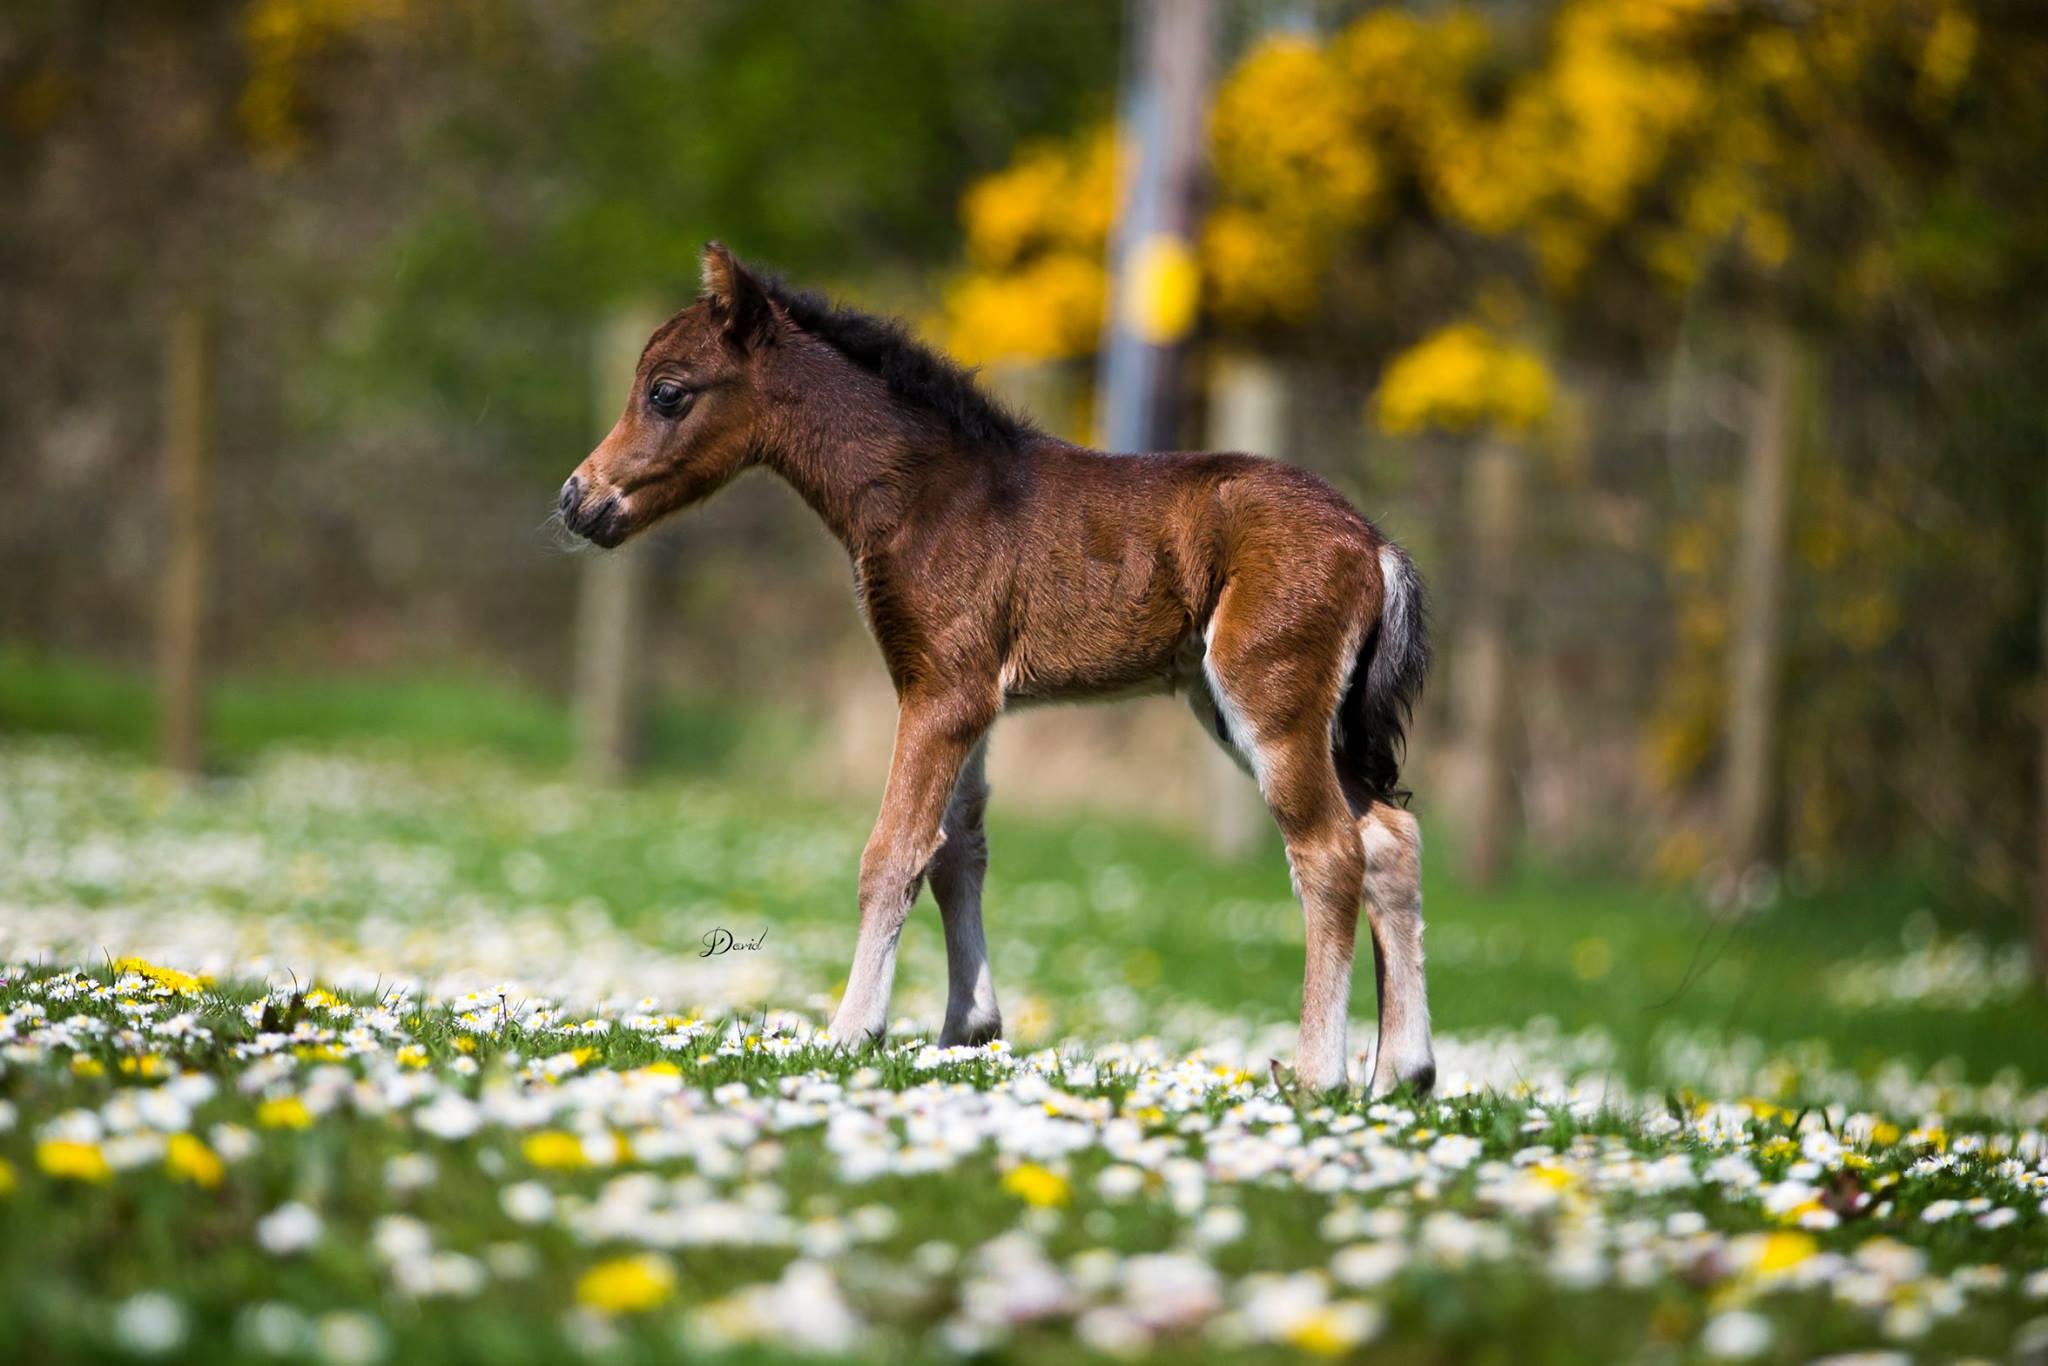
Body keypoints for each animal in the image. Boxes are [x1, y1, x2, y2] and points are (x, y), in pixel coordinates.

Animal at [559, 243, 1434, 1095]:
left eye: (668, 393)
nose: (577, 500)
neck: (925, 494)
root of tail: (1374, 545)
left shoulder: (942, 691)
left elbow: (893, 851)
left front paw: (852, 1033)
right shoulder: (969, 694)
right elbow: (958, 848)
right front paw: (967, 1032)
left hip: (1268, 697)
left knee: (1330, 852)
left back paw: (1320, 1076)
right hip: (1261, 709)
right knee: (1389, 837)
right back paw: (1404, 1073)